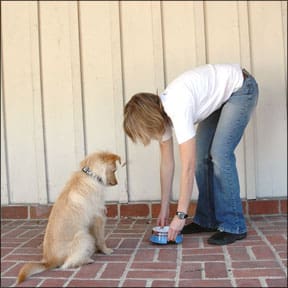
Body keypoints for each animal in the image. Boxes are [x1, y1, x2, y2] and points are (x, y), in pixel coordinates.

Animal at [17, 151, 120, 284]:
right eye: (114, 170)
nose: (116, 183)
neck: (91, 176)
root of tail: (49, 261)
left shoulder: (92, 222)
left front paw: (98, 249)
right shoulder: (98, 218)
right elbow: (101, 239)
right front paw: (106, 250)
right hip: (84, 236)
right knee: (67, 264)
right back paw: (87, 259)